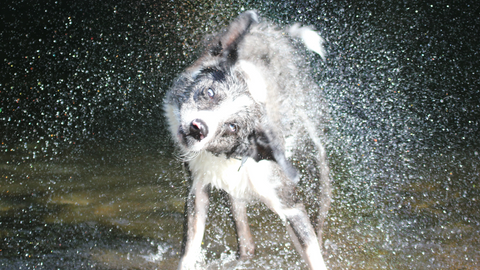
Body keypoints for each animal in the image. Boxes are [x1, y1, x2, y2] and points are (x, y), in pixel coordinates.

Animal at [163, 10, 332, 270]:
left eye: (233, 126)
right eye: (210, 92)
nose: (198, 128)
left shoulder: (290, 205)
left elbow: (313, 253)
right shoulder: (198, 189)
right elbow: (189, 251)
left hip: (318, 161)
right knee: (246, 241)